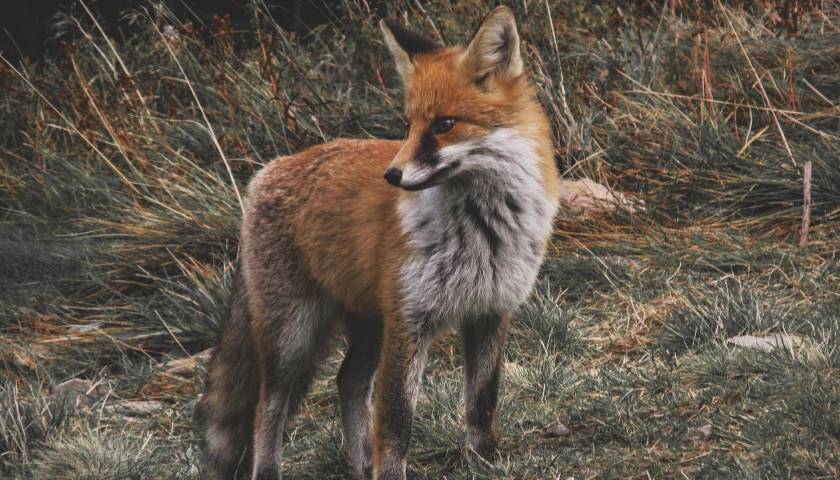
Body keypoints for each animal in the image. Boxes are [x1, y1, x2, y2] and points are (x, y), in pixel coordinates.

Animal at [201, 5, 560, 478]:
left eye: (444, 125)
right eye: (407, 126)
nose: (392, 175)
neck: (483, 230)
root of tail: (268, 170)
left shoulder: (490, 310)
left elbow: (482, 400)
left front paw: (485, 459)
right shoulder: (409, 321)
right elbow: (395, 419)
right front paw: (390, 472)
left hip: (368, 324)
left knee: (348, 382)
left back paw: (359, 465)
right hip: (293, 335)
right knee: (268, 407)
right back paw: (271, 469)